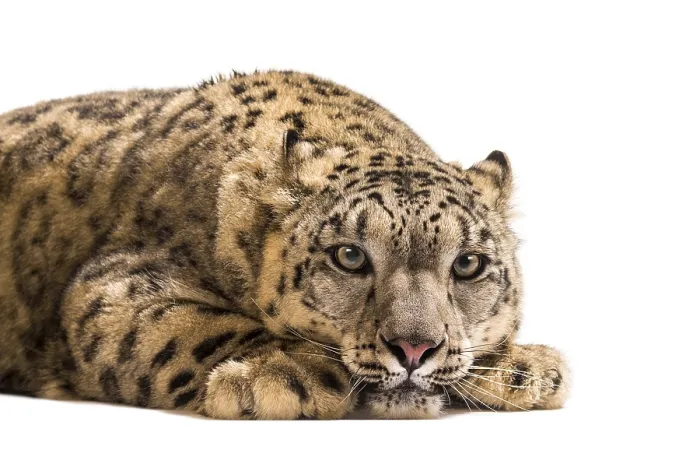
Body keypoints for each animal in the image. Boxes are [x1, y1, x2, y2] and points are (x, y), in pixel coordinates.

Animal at [0, 70, 569, 419]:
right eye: (349, 256)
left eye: (468, 264)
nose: (415, 348)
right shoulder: (113, 287)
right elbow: (188, 326)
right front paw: (284, 374)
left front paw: (525, 369)